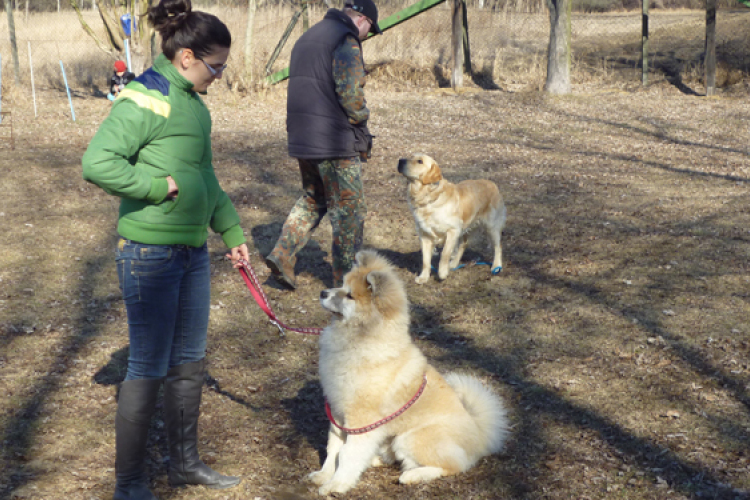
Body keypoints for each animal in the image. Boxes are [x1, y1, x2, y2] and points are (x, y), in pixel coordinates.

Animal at [308, 250, 516, 496]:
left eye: (349, 295)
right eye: (341, 284)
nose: (323, 292)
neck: (359, 340)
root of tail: (481, 436)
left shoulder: (361, 420)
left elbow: (348, 454)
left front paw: (337, 485)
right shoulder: (338, 413)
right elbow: (334, 448)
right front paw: (324, 475)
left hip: (409, 438)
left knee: (452, 466)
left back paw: (412, 475)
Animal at [396, 154, 508, 284]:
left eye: (420, 161)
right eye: (411, 156)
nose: (400, 161)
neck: (429, 196)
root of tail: (492, 183)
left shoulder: (452, 231)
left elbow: (445, 254)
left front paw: (442, 273)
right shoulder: (425, 235)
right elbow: (425, 260)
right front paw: (423, 277)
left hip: (491, 227)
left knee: (498, 246)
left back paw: (496, 266)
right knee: (463, 245)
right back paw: (453, 264)